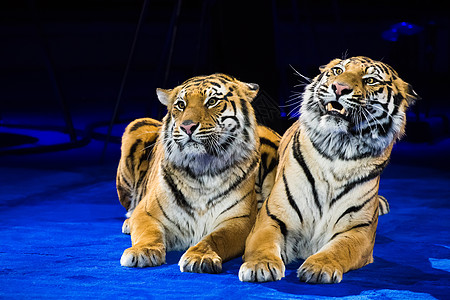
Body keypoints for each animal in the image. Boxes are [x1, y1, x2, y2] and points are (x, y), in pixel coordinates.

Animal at [117, 74, 282, 274]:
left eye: (212, 101)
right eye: (181, 104)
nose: (187, 127)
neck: (202, 169)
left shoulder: (239, 220)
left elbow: (216, 238)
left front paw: (200, 256)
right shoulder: (146, 213)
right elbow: (148, 232)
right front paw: (143, 251)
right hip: (136, 125)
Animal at [239, 56, 418, 284]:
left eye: (370, 80)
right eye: (338, 71)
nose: (340, 87)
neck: (338, 150)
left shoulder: (359, 231)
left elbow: (339, 249)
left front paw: (319, 267)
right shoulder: (271, 218)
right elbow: (263, 244)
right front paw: (259, 266)